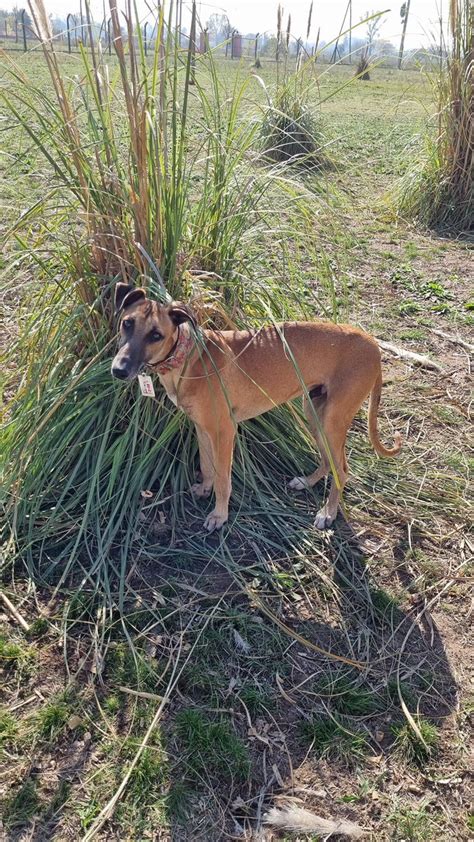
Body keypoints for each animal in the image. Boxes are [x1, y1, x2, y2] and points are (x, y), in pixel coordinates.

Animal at [110, 284, 400, 532]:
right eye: (127, 323)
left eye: (155, 335)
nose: (118, 370)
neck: (189, 359)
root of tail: (372, 344)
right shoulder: (202, 428)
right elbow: (206, 465)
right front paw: (204, 489)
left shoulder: (225, 432)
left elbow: (223, 480)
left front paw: (219, 515)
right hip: (315, 411)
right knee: (329, 460)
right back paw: (306, 482)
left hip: (332, 420)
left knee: (342, 469)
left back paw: (327, 513)